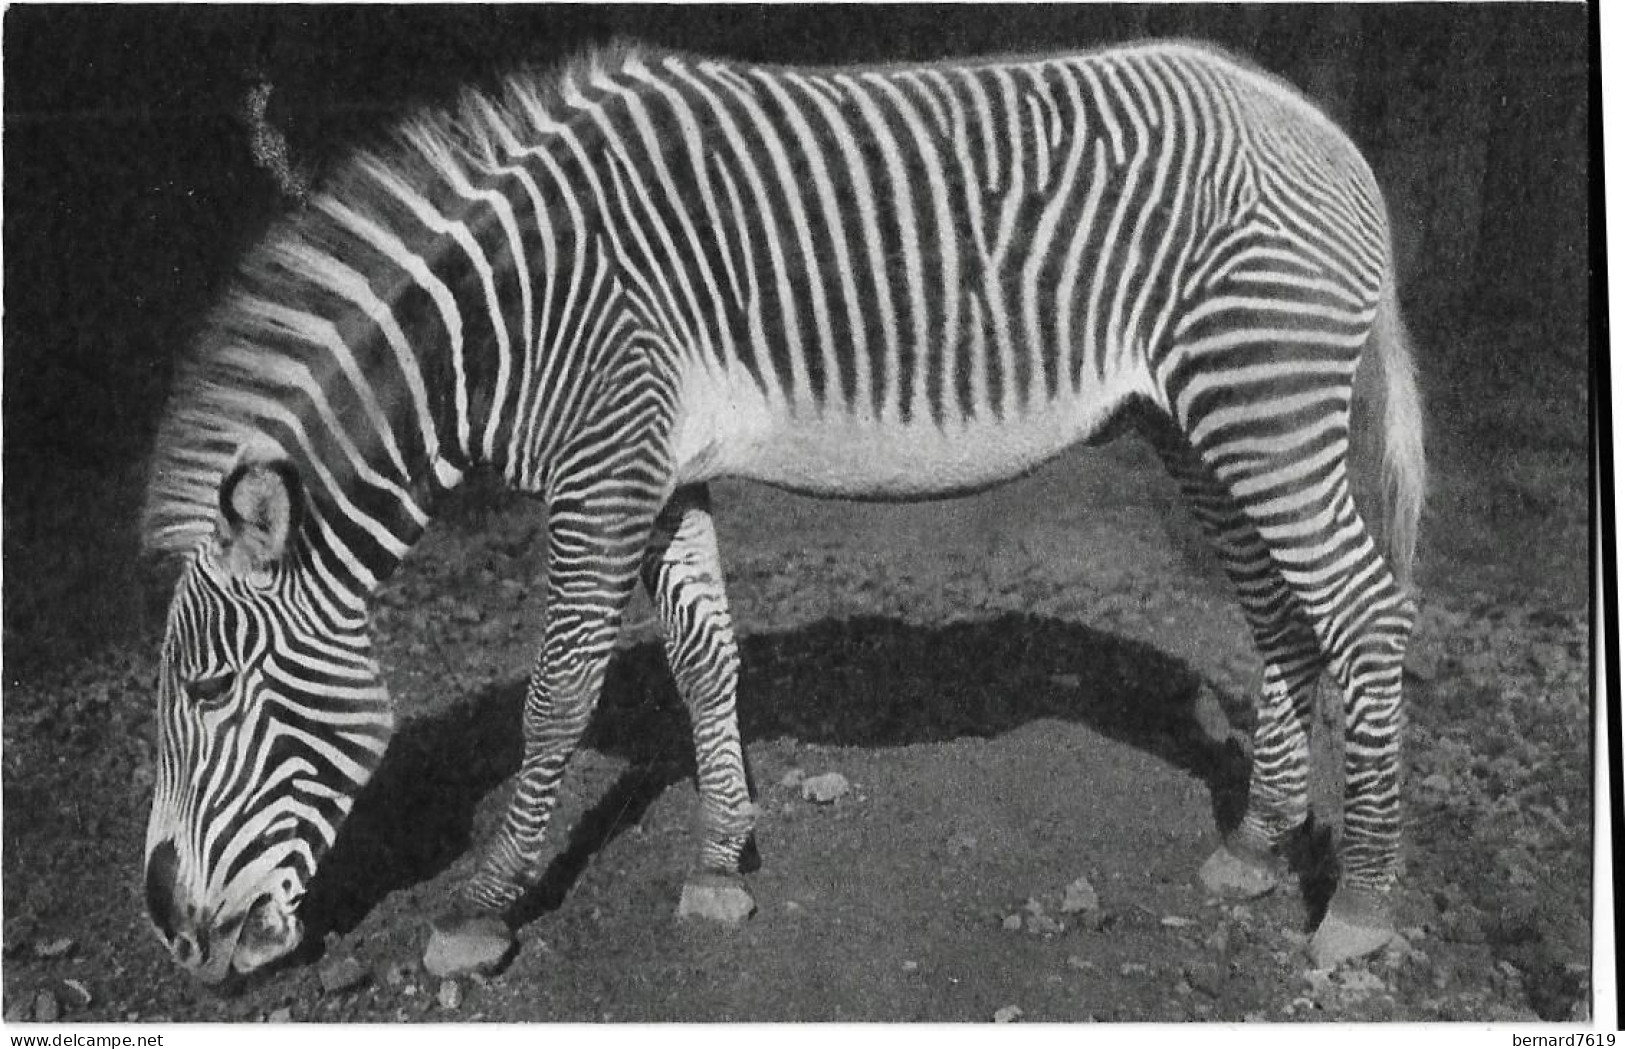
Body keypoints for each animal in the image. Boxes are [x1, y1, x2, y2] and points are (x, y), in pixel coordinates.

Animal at [146, 41, 1430, 993]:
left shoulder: (601, 468)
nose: (174, 937)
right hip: (1195, 420)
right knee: (1279, 612)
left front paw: (477, 910)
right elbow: (703, 659)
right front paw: (722, 860)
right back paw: (1255, 843)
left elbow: (555, 695)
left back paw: (1360, 904)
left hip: (1258, 402)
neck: (506, 322)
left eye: (206, 689)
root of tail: (1318, 125)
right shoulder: (659, 472)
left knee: (1363, 610)